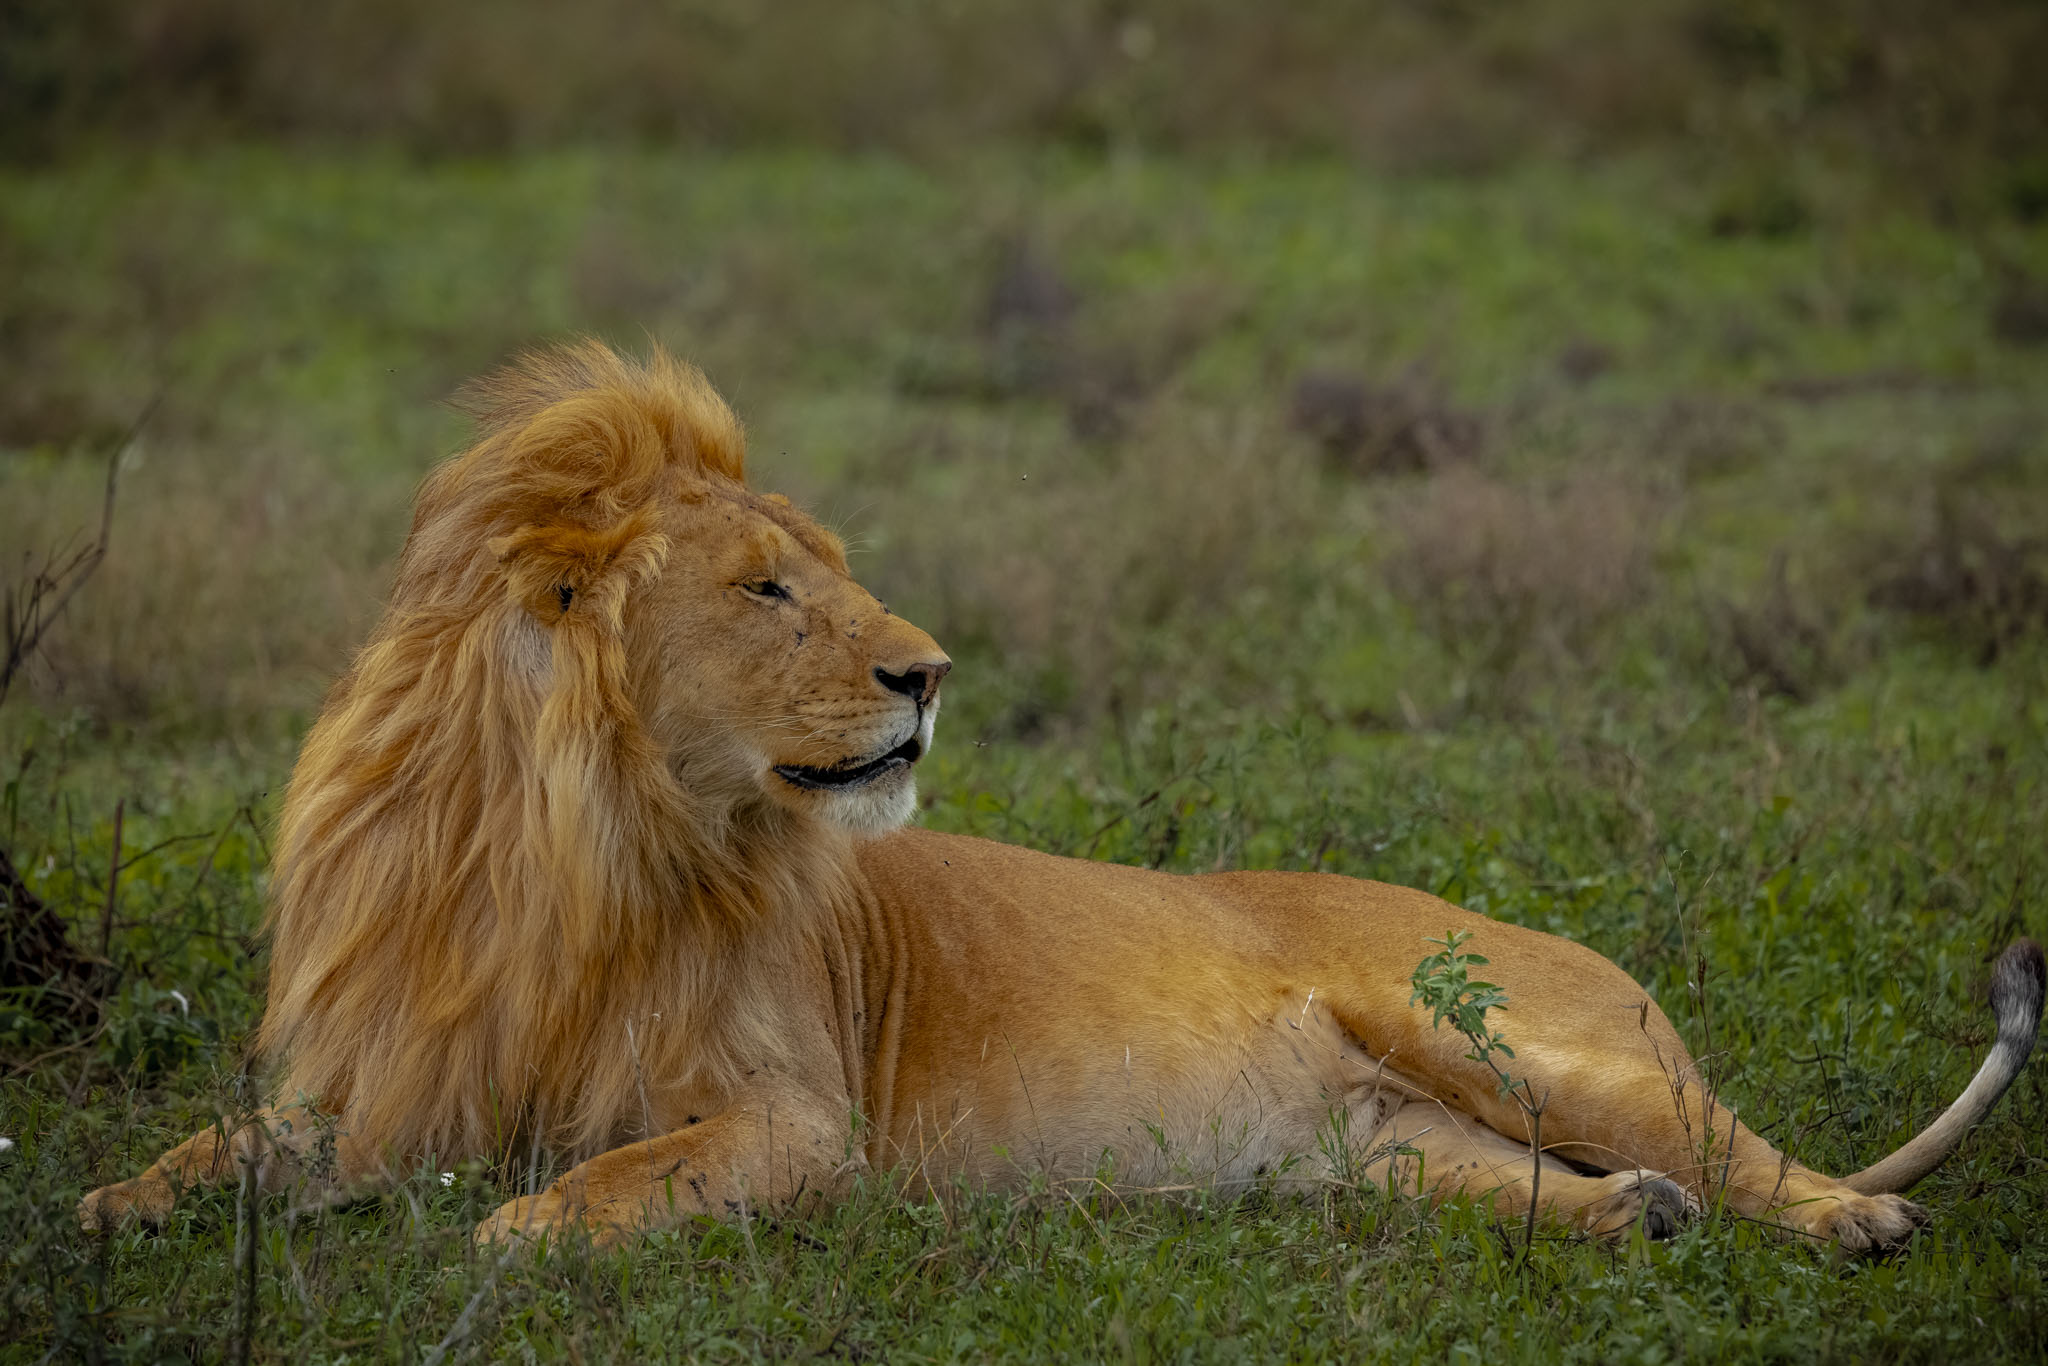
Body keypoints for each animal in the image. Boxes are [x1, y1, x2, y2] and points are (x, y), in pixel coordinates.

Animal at [82, 341, 2043, 1254]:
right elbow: (209, 1154)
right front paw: (101, 1215)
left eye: (830, 570)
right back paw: (1632, 1219)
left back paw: (1848, 1215)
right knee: (1525, 1180)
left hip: (1503, 1032)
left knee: (1728, 1138)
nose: (932, 671)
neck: (566, 849)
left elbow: (591, 1187)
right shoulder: (384, 1077)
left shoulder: (798, 1122)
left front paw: (508, 1236)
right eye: (768, 590)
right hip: (1375, 1153)